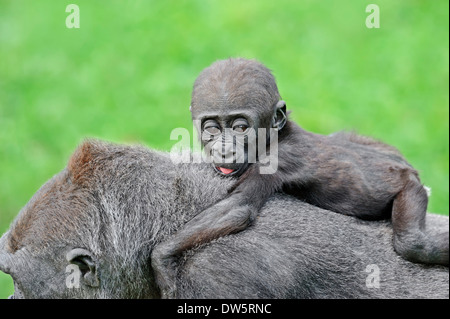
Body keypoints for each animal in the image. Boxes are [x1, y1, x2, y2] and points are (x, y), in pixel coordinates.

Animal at [152, 57, 450, 298]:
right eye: (212, 128)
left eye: (240, 127)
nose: (225, 150)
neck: (278, 134)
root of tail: (408, 171)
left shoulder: (276, 160)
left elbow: (238, 209)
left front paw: (161, 257)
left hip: (409, 188)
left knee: (414, 243)